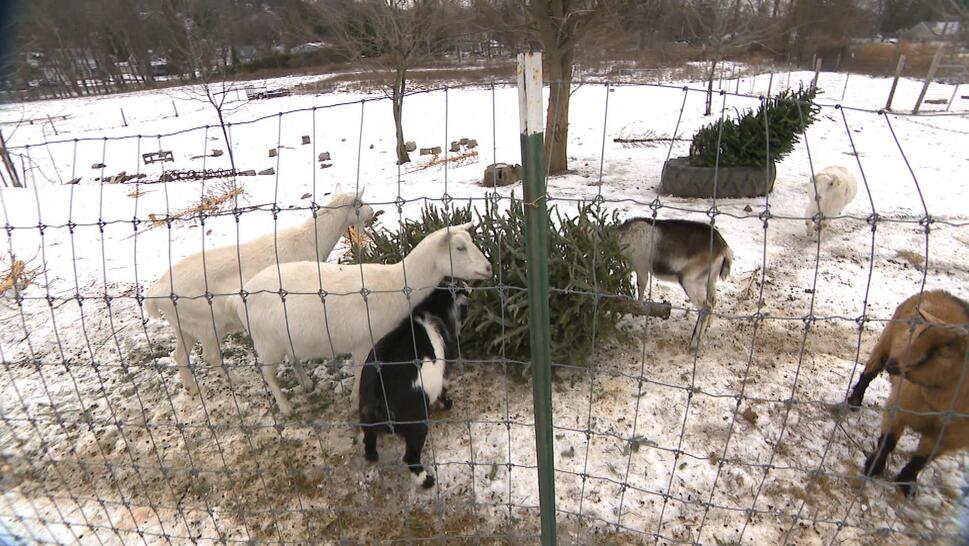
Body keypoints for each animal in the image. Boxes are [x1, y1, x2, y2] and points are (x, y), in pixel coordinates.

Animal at [144, 185, 374, 395]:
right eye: (360, 202)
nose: (372, 212)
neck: (309, 239)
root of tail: (156, 292)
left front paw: (306, 383)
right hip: (207, 325)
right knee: (210, 355)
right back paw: (236, 380)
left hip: (183, 326)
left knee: (179, 356)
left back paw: (192, 389)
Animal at [234, 223, 492, 416]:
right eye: (460, 247)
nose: (489, 268)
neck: (395, 285)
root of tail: (241, 296)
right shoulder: (363, 344)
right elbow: (360, 373)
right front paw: (355, 402)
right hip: (266, 342)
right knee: (267, 374)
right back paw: (286, 408)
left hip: (284, 338)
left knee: (292, 357)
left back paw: (306, 384)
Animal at [359, 284, 470, 488]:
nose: (468, 288)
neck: (431, 310)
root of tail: (378, 398)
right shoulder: (442, 371)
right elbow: (443, 389)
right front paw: (448, 404)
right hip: (417, 424)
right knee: (410, 457)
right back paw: (427, 480)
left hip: (366, 420)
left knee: (368, 442)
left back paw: (374, 457)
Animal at [619, 217, 733, 349]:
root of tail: (724, 250)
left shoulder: (641, 267)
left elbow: (641, 286)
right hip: (710, 281)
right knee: (713, 300)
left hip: (690, 282)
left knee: (706, 307)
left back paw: (693, 344)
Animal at [847, 290, 969, 496]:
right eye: (919, 335)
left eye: (943, 353)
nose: (893, 365)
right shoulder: (897, 408)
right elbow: (888, 441)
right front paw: (873, 467)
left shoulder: (946, 439)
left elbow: (921, 459)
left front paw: (906, 484)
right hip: (884, 343)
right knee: (869, 373)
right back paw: (854, 401)